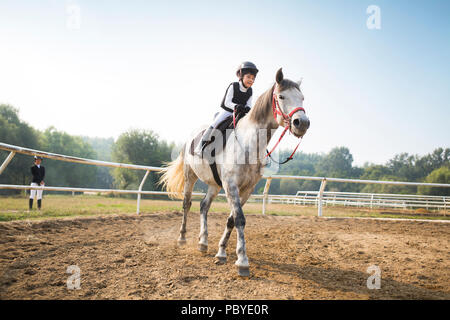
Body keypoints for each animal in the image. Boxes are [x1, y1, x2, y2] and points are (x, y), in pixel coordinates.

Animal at [158, 68, 310, 278]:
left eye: (302, 98)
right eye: (281, 96)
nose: (302, 123)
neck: (248, 143)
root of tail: (192, 135)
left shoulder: (246, 189)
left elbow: (231, 220)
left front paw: (222, 252)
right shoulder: (231, 186)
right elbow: (239, 219)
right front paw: (242, 261)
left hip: (214, 185)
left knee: (204, 206)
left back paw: (203, 242)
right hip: (191, 178)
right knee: (187, 204)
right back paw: (182, 238)